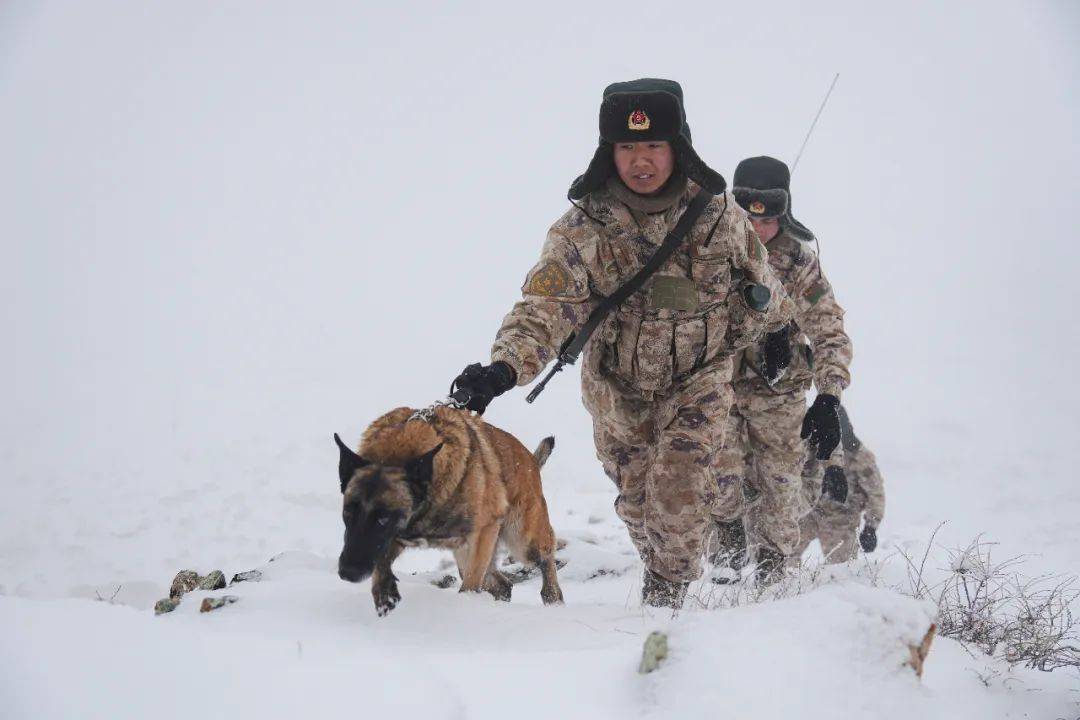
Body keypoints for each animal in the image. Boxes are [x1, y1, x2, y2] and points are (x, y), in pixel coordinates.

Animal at [334, 405, 565, 613]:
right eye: (348, 513)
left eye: (383, 519)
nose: (347, 572)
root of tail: (530, 460)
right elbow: (380, 560)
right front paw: (384, 592)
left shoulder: (484, 531)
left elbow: (471, 583)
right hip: (467, 552)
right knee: (502, 585)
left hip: (522, 541)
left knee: (546, 558)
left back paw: (552, 600)